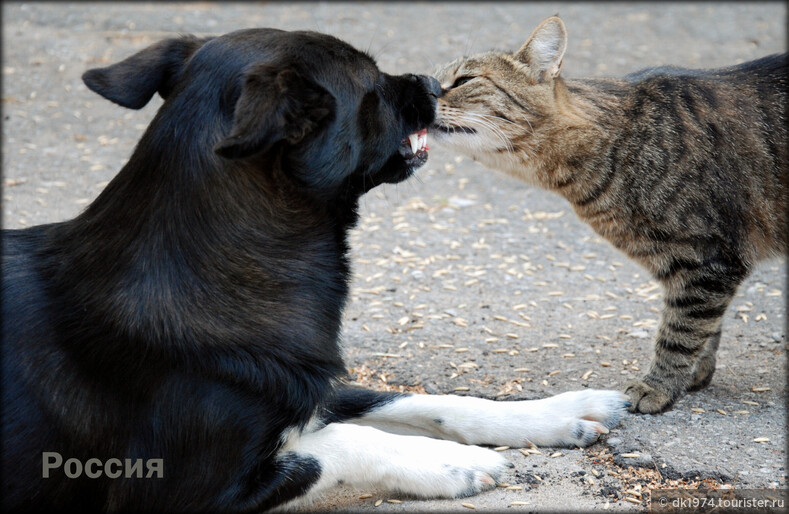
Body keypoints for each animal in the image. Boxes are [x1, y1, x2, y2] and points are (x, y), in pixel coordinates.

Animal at [0, 29, 628, 512]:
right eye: (371, 85)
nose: (432, 84)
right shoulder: (183, 490)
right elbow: (345, 441)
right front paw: (449, 462)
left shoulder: (311, 388)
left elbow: (419, 401)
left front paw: (556, 412)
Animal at [430, 17, 788, 412]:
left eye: (464, 80)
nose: (421, 93)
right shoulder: (702, 269)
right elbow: (706, 329)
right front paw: (694, 374)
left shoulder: (709, 259)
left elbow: (680, 331)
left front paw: (658, 386)